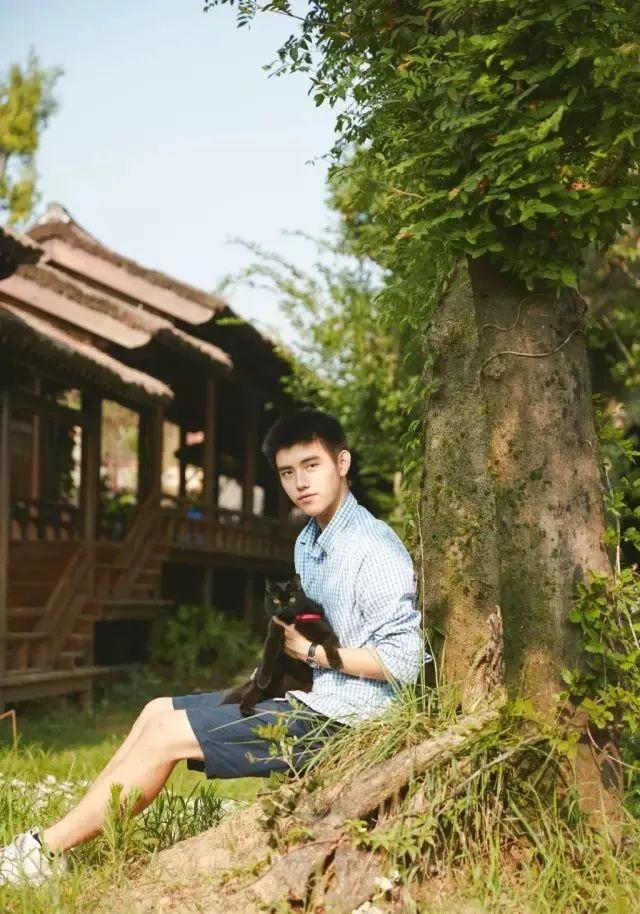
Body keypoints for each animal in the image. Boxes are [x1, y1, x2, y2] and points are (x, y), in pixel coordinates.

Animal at [221, 574, 343, 716]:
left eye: (292, 599)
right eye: (276, 601)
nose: (284, 606)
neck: (291, 621)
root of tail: (277, 692)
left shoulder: (325, 631)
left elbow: (331, 645)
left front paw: (335, 662)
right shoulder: (272, 636)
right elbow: (268, 658)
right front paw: (263, 680)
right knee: (252, 691)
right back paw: (246, 708)